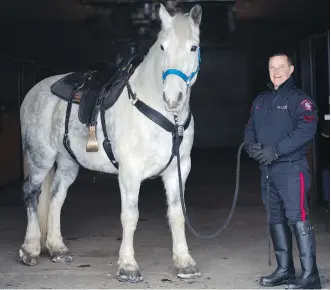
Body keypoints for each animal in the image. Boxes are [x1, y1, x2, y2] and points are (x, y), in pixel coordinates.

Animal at [20, 2, 202, 284]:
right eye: (162, 47)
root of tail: (34, 91)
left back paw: (57, 248)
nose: (172, 98)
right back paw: (30, 249)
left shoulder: (178, 168)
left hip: (68, 163)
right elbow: (130, 216)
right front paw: (128, 267)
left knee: (56, 198)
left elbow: (177, 214)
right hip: (40, 158)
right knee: (31, 193)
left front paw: (184, 263)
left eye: (193, 47)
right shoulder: (130, 172)